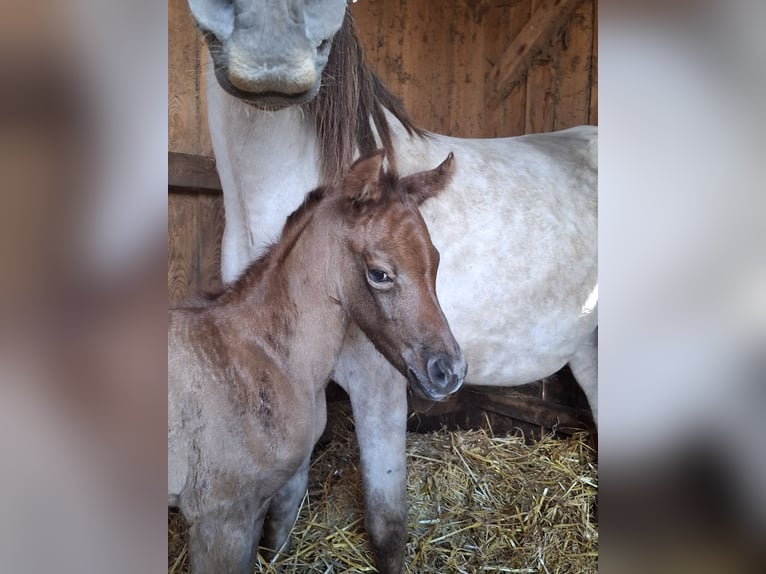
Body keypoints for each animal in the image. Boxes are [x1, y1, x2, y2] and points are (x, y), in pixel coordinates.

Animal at [167, 150, 466, 574]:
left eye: (435, 261)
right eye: (379, 273)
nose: (449, 371)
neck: (259, 356)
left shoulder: (253, 510)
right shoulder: (218, 516)